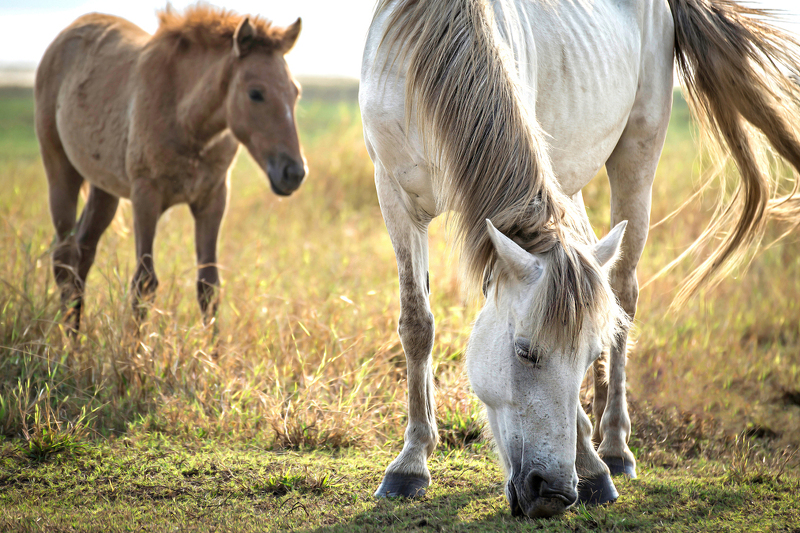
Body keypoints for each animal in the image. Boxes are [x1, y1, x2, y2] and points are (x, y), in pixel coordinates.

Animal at [34, 4, 304, 330]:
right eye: (255, 93)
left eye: (295, 92)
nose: (294, 173)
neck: (184, 117)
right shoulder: (145, 196)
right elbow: (144, 283)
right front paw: (134, 346)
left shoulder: (212, 199)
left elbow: (209, 285)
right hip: (61, 171)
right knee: (63, 258)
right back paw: (66, 339)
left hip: (104, 188)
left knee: (82, 255)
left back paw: (75, 335)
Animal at [360, 0, 800, 516]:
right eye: (525, 352)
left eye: (587, 355)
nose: (553, 493)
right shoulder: (394, 196)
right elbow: (417, 324)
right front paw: (410, 464)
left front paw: (592, 466)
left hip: (637, 153)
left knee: (624, 293)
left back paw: (614, 447)